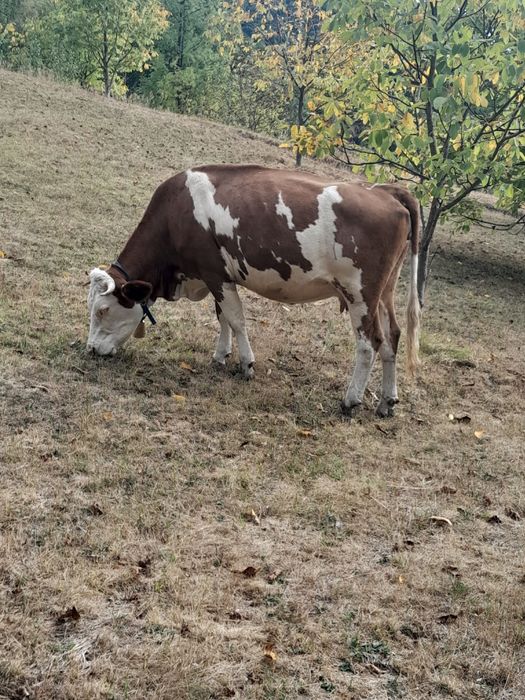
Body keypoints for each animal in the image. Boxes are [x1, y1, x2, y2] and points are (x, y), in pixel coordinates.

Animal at [87, 164, 421, 418]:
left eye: (102, 310)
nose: (90, 349)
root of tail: (385, 190)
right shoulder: (218, 277)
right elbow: (222, 318)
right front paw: (221, 356)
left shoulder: (213, 273)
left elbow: (236, 320)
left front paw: (246, 364)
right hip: (384, 292)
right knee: (392, 336)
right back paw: (387, 401)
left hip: (360, 292)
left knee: (369, 343)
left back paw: (351, 400)